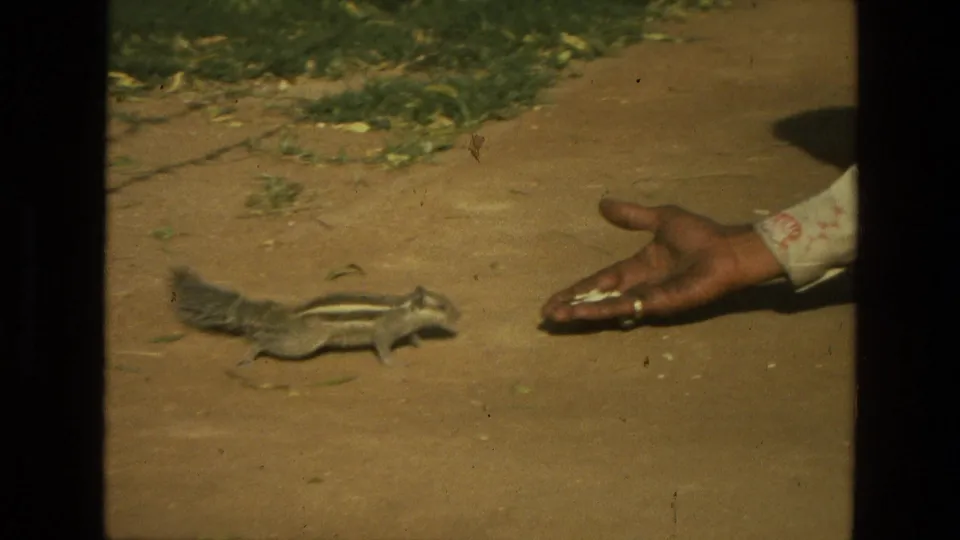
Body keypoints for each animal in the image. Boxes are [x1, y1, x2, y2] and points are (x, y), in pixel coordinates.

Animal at [170, 266, 461, 367]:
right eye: (443, 306)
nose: (460, 315)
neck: (403, 309)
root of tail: (288, 314)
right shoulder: (383, 332)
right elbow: (382, 346)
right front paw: (394, 363)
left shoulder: (406, 328)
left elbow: (412, 335)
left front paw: (419, 344)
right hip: (305, 343)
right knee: (264, 339)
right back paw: (250, 354)